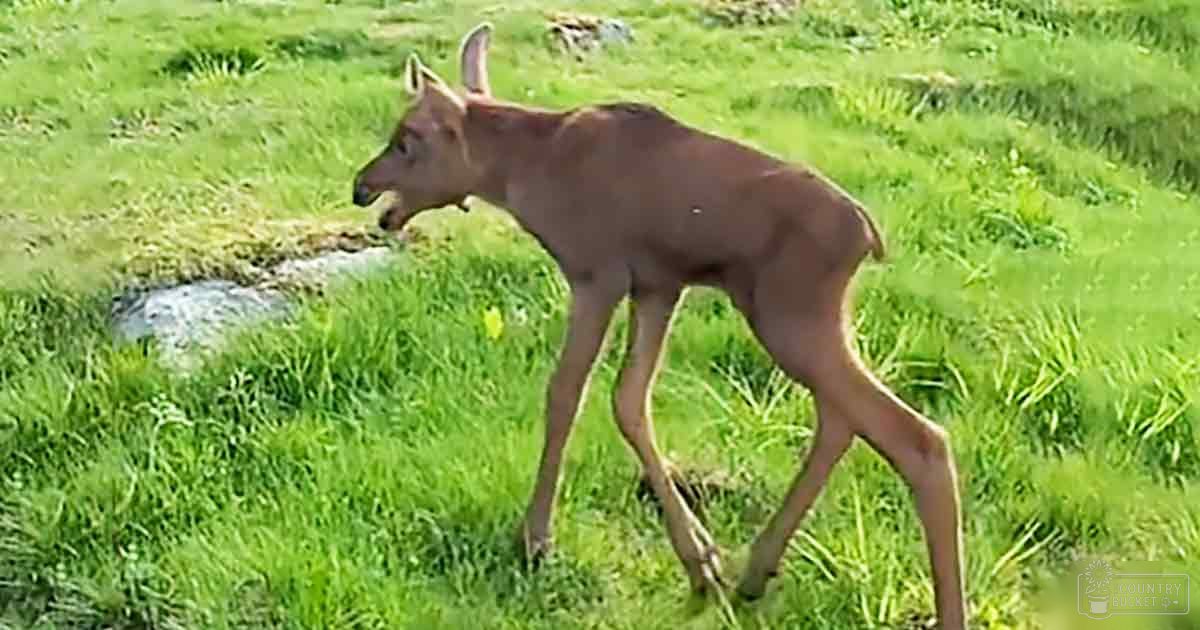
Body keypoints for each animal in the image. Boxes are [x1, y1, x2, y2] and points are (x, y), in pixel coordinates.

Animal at [351, 22, 969, 629]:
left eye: (407, 137)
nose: (361, 186)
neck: (527, 172)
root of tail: (868, 236)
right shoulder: (657, 285)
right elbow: (630, 400)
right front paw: (701, 558)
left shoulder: (596, 273)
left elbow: (566, 394)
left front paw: (535, 540)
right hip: (805, 321)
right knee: (842, 419)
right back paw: (756, 569)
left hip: (790, 317)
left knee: (916, 438)